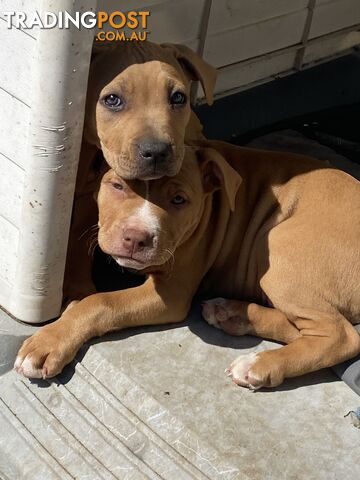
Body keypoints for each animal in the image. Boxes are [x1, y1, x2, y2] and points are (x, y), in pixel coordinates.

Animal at [14, 142, 360, 386]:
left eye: (179, 200)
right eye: (118, 186)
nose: (136, 238)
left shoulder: (171, 293)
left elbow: (101, 303)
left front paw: (49, 340)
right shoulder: (87, 216)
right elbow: (75, 257)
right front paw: (74, 295)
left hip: (278, 246)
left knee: (341, 336)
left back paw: (261, 364)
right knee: (309, 328)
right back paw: (233, 314)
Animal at [64, 43, 217, 302]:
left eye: (178, 97)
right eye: (112, 99)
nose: (156, 152)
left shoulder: (89, 198)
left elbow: (79, 236)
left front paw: (78, 290)